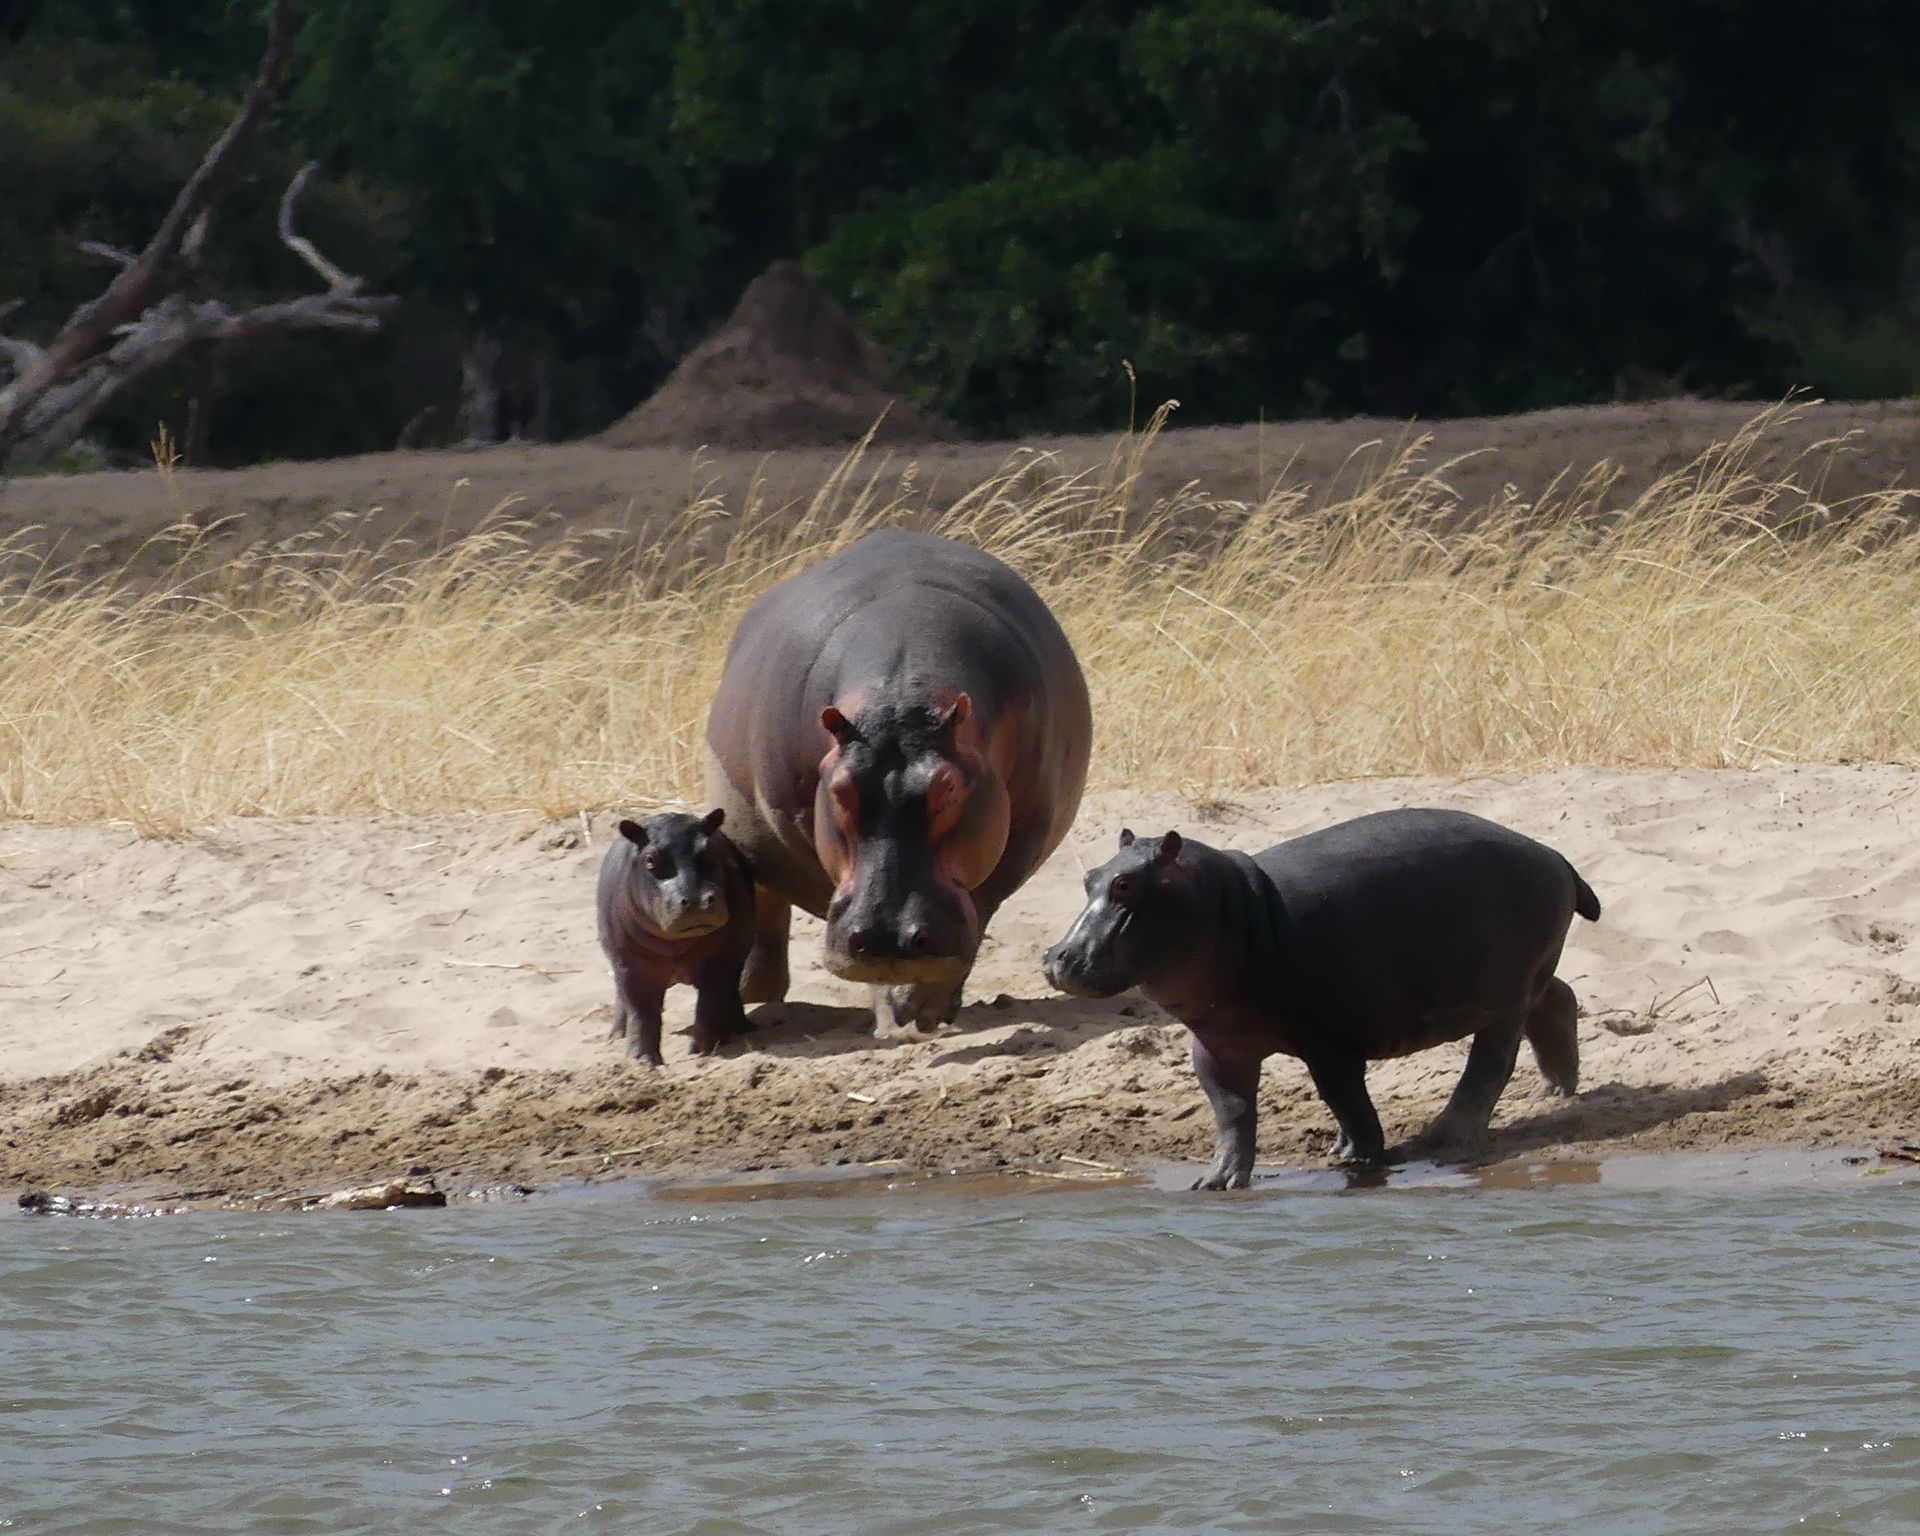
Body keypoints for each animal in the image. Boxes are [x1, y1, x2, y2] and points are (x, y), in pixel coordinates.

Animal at [595, 808, 755, 1065]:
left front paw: (702, 1050)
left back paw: (740, 1029)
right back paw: (616, 1036)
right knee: (622, 997)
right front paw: (643, 1060)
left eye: (710, 849)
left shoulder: (722, 959)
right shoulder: (631, 966)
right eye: (650, 859)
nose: (698, 901)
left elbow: (710, 1003)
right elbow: (641, 1011)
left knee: (729, 994)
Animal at [706, 528, 1092, 1032]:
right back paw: (755, 992)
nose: (886, 939)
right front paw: (895, 1015)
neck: (901, 693)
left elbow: (978, 909)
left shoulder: (1018, 836)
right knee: (768, 900)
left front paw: (922, 1008)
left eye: (948, 786)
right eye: (839, 789)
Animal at [1041, 808, 1601, 1187]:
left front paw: (1360, 1159)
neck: (1228, 908)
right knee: (1559, 997)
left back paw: (1443, 1137)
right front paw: (1216, 1181)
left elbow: (1347, 1101)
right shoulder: (1216, 1047)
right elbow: (1230, 1112)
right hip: (1524, 981)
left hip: (1504, 998)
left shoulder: (1330, 1044)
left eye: (1124, 884)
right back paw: (1555, 1090)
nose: (1055, 957)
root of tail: (1554, 855)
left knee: (1490, 1064)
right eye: (1088, 878)